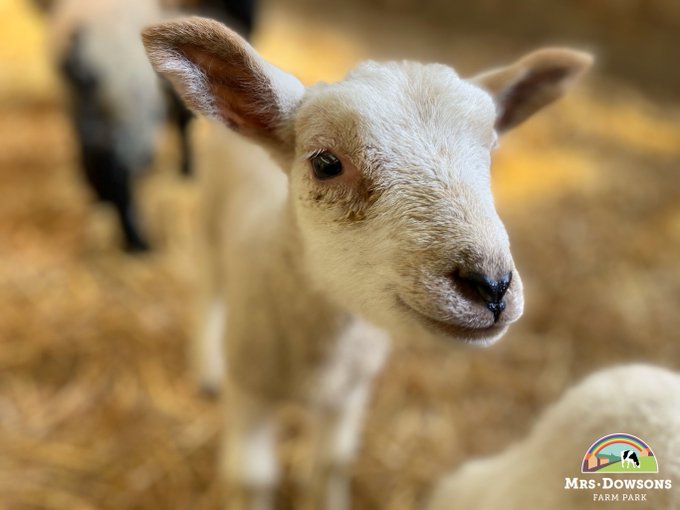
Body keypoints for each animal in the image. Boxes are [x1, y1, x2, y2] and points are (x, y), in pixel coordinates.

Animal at [142, 17, 592, 509]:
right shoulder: (250, 391)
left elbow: (332, 464)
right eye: (325, 163)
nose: (491, 286)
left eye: (491, 152)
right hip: (207, 227)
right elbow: (254, 478)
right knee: (207, 295)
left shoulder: (351, 392)